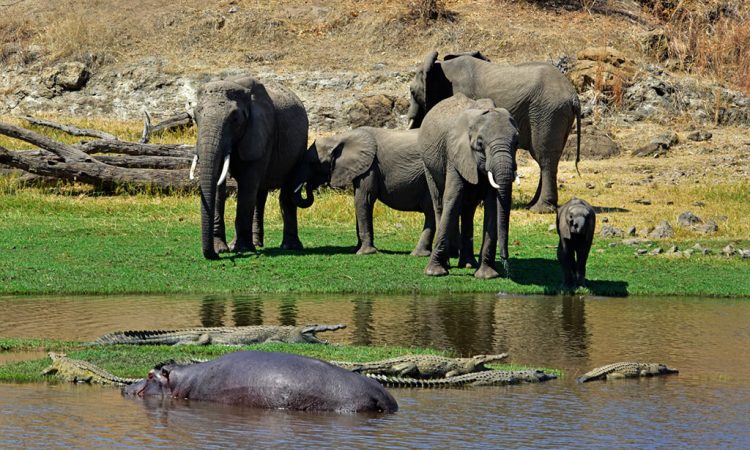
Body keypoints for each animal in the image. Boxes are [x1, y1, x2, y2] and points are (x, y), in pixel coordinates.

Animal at [197, 75, 312, 258]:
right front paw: (221, 248)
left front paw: (241, 249)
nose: (214, 256)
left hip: (300, 146)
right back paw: (257, 244)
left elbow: (247, 185)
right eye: (196, 116)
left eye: (235, 119)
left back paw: (289, 246)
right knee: (260, 195)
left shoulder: (261, 132)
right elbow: (219, 185)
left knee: (285, 193)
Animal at [292, 126, 438, 256]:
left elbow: (363, 199)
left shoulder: (371, 167)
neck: (339, 138)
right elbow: (359, 202)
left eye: (313, 163)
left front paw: (365, 253)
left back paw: (418, 254)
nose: (309, 185)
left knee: (430, 212)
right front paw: (356, 249)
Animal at [408, 51, 584, 214]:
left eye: (411, 91)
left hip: (547, 113)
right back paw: (532, 205)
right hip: (557, 115)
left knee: (544, 157)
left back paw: (540, 209)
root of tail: (573, 96)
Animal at [420, 93, 520, 280]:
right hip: (428, 164)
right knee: (439, 203)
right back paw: (448, 264)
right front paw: (434, 273)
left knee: (468, 210)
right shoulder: (455, 155)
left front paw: (487, 275)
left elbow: (492, 205)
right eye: (480, 144)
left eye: (516, 143)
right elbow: (452, 198)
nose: (505, 260)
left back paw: (467, 264)